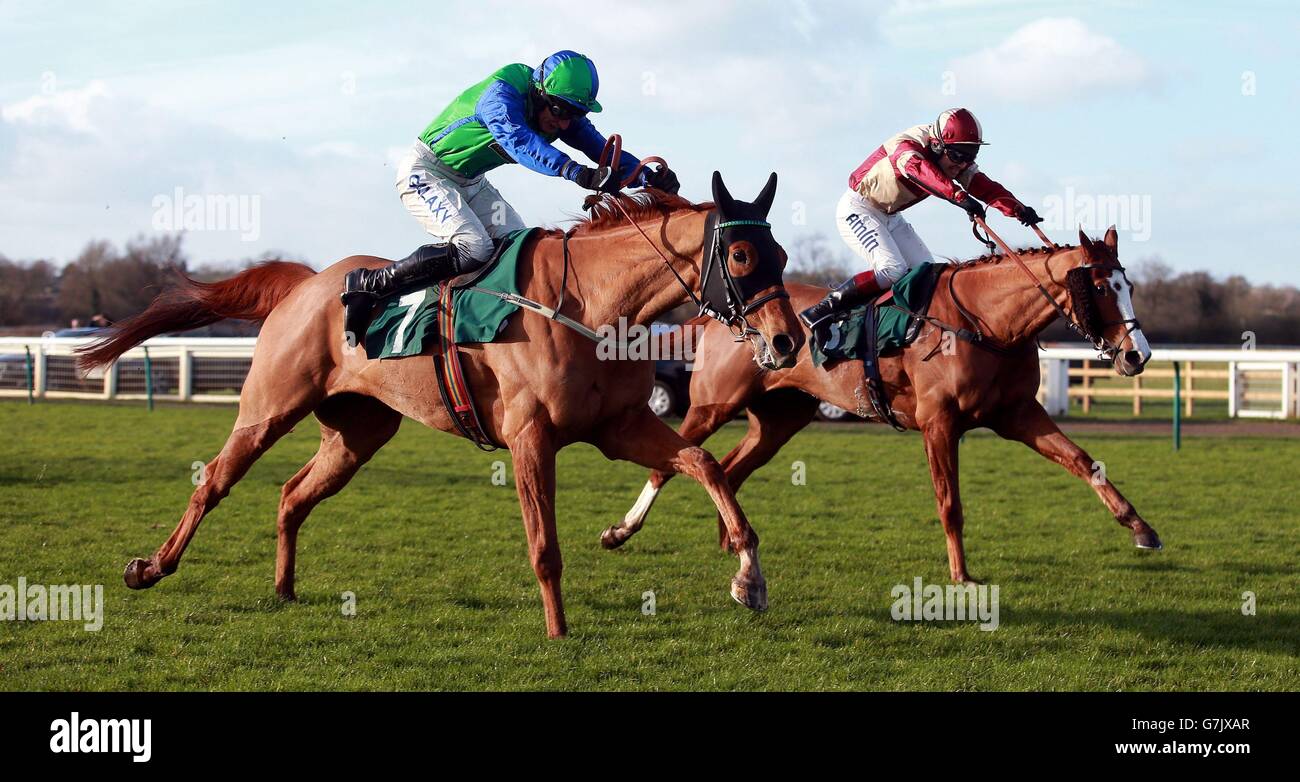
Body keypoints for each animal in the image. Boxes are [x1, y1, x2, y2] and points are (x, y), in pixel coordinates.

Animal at [81, 174, 800, 636]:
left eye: (783, 253)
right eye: (740, 254)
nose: (788, 340)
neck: (592, 302)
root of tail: (307, 283)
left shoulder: (619, 425)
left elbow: (703, 464)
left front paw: (749, 577)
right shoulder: (530, 436)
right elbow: (545, 545)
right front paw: (558, 631)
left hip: (358, 434)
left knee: (292, 494)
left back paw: (284, 589)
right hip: (268, 408)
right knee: (213, 484)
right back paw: (150, 567)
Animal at [603, 223, 1164, 579]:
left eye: (1130, 285)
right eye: (1100, 287)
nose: (1137, 354)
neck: (986, 321)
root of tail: (725, 316)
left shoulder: (1020, 414)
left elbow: (1084, 462)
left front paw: (1141, 528)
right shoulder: (939, 422)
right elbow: (949, 503)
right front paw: (962, 575)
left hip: (779, 420)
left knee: (730, 468)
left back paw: (731, 544)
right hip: (711, 407)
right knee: (671, 465)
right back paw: (621, 531)